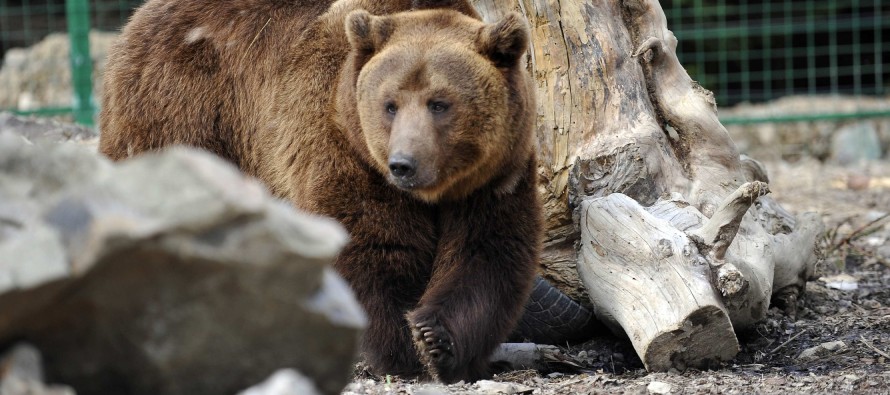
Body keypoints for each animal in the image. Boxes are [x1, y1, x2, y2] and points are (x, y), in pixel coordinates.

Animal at [99, 0, 536, 384]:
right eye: (390, 104)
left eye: (440, 103)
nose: (404, 164)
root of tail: (135, 20)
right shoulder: (344, 144)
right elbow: (373, 243)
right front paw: (402, 348)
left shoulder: (493, 177)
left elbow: (485, 252)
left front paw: (437, 342)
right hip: (181, 108)